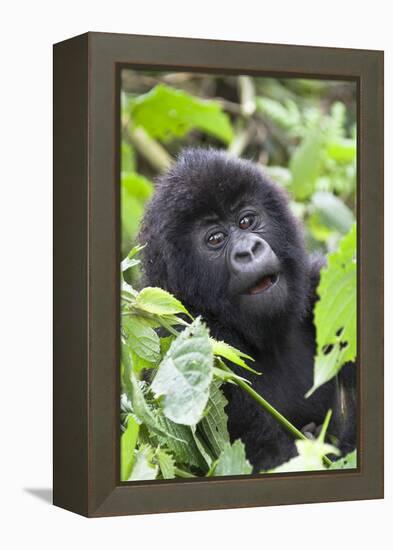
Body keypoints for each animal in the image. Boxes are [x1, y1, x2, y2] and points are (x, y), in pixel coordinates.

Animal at [139, 149, 356, 472]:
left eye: (246, 221)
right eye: (215, 239)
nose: (249, 251)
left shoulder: (323, 286)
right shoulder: (192, 339)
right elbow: (268, 456)